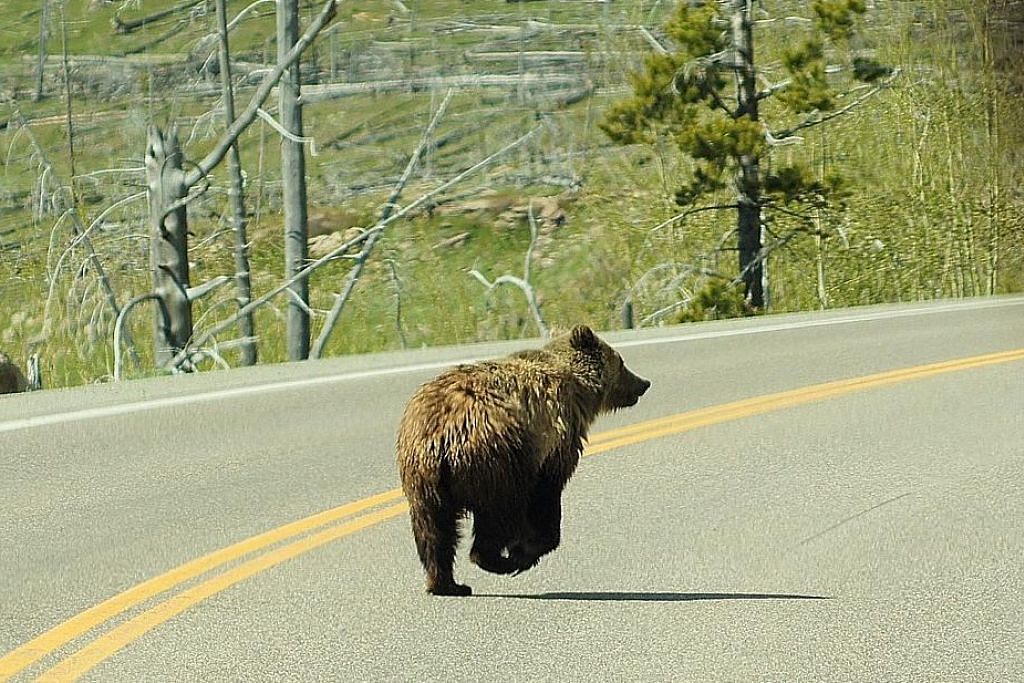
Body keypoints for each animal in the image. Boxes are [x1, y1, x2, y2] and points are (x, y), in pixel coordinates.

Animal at [395, 325, 651, 598]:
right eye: (621, 361)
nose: (643, 383)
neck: (579, 388)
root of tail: (442, 436)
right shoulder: (554, 443)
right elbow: (545, 495)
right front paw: (529, 547)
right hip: (498, 460)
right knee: (500, 514)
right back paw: (501, 561)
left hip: (422, 482)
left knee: (435, 531)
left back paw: (448, 584)